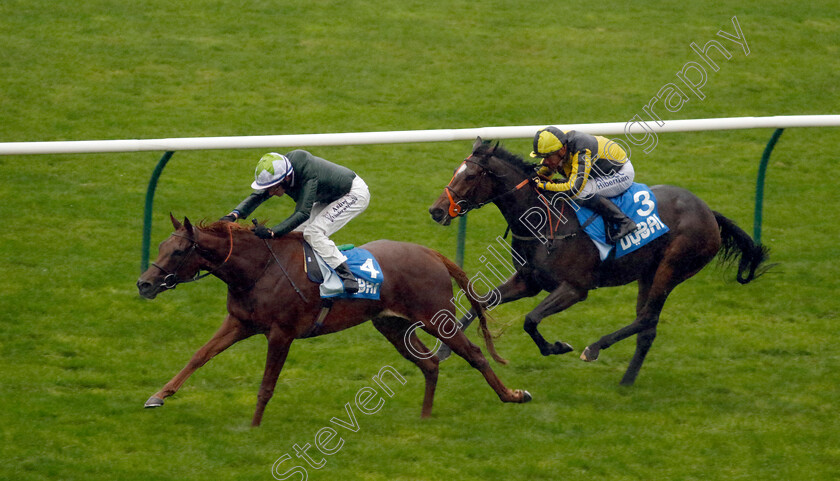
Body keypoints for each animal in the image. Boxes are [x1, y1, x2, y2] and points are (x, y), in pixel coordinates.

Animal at [138, 216, 532, 426]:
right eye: (159, 246)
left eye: (177, 251)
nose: (144, 283)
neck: (258, 269)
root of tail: (431, 252)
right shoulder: (239, 322)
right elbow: (199, 356)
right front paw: (158, 396)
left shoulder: (281, 333)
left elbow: (267, 384)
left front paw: (253, 425)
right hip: (392, 326)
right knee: (431, 364)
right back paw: (424, 416)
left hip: (437, 318)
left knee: (475, 354)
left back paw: (513, 395)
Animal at [430, 137, 764, 384]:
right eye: (456, 171)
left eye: (470, 175)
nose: (436, 210)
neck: (544, 221)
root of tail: (709, 213)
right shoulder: (528, 281)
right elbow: (483, 301)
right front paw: (446, 348)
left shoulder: (574, 289)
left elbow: (531, 319)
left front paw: (556, 347)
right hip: (648, 272)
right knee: (648, 327)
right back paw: (626, 382)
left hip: (671, 269)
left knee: (646, 318)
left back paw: (594, 348)